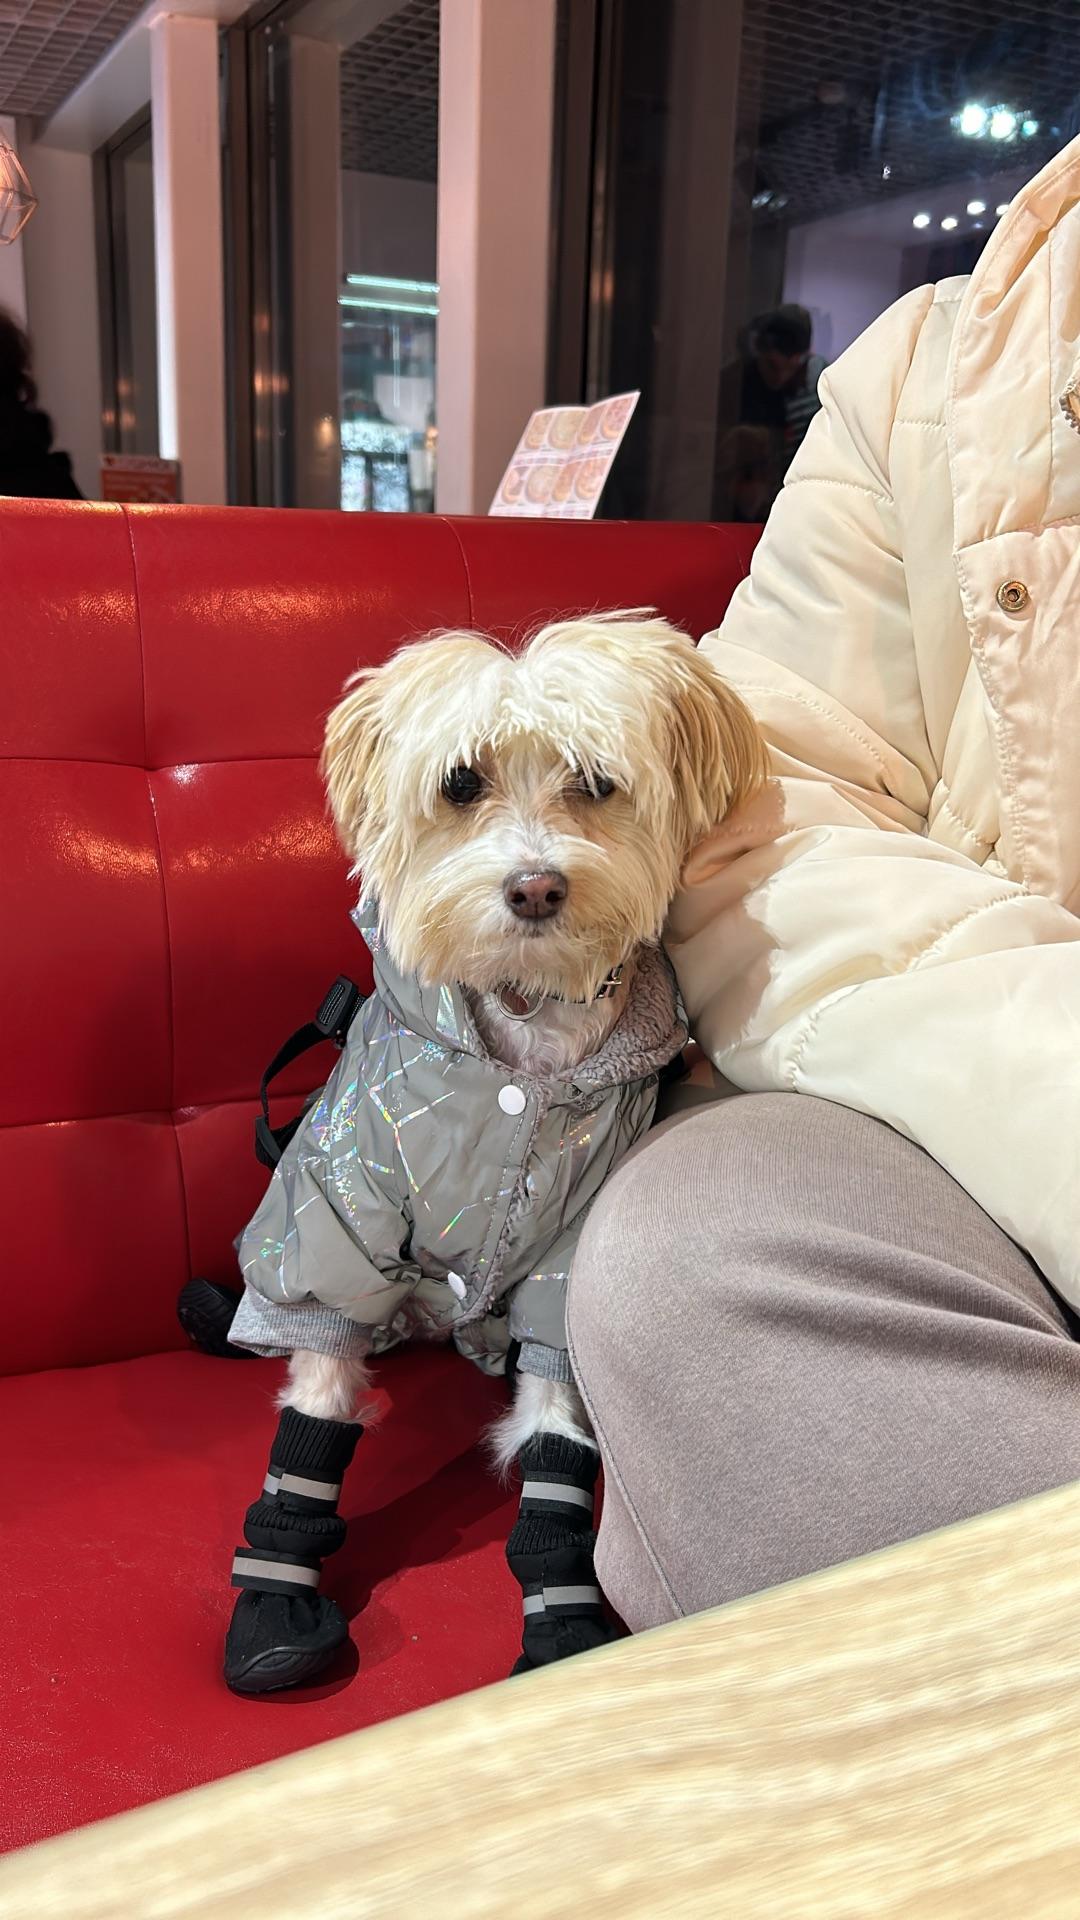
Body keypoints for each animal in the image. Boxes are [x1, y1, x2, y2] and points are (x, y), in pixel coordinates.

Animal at [223, 611, 766, 1693]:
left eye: (596, 781)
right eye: (461, 783)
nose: (537, 886)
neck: (524, 1019)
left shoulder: (567, 1252)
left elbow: (555, 1432)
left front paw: (560, 1609)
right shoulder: (336, 1211)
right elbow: (317, 1393)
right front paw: (277, 1578)